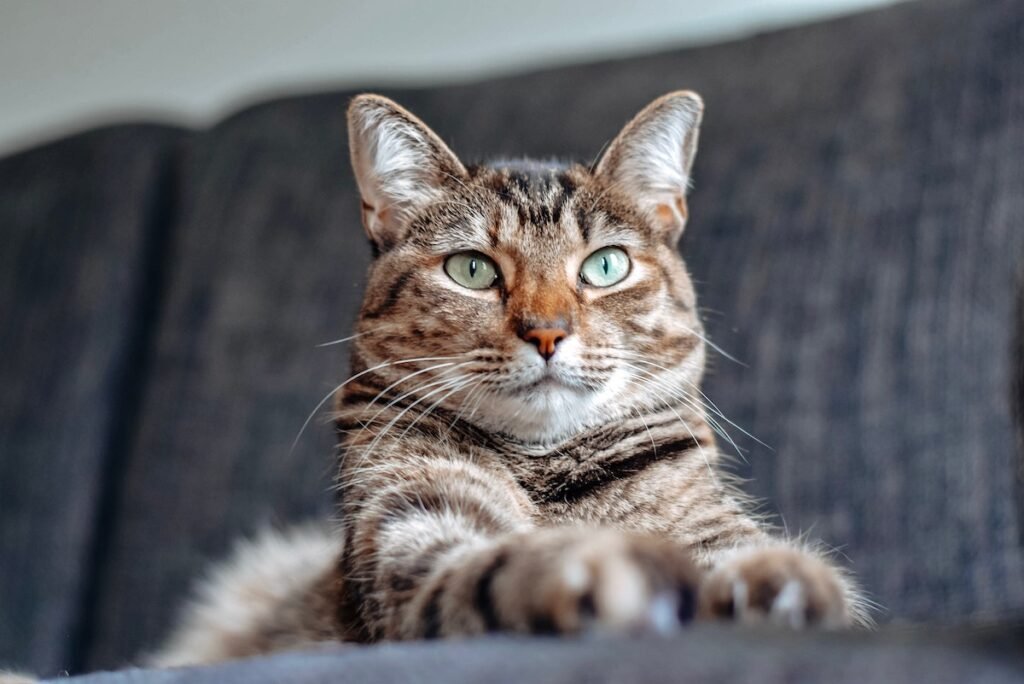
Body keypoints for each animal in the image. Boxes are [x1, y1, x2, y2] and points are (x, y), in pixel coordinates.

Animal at [151, 89, 872, 667]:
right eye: (472, 269)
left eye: (606, 265)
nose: (547, 332)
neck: (544, 466)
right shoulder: (412, 528)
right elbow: (488, 569)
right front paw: (600, 568)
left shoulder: (706, 524)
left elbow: (754, 560)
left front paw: (785, 582)